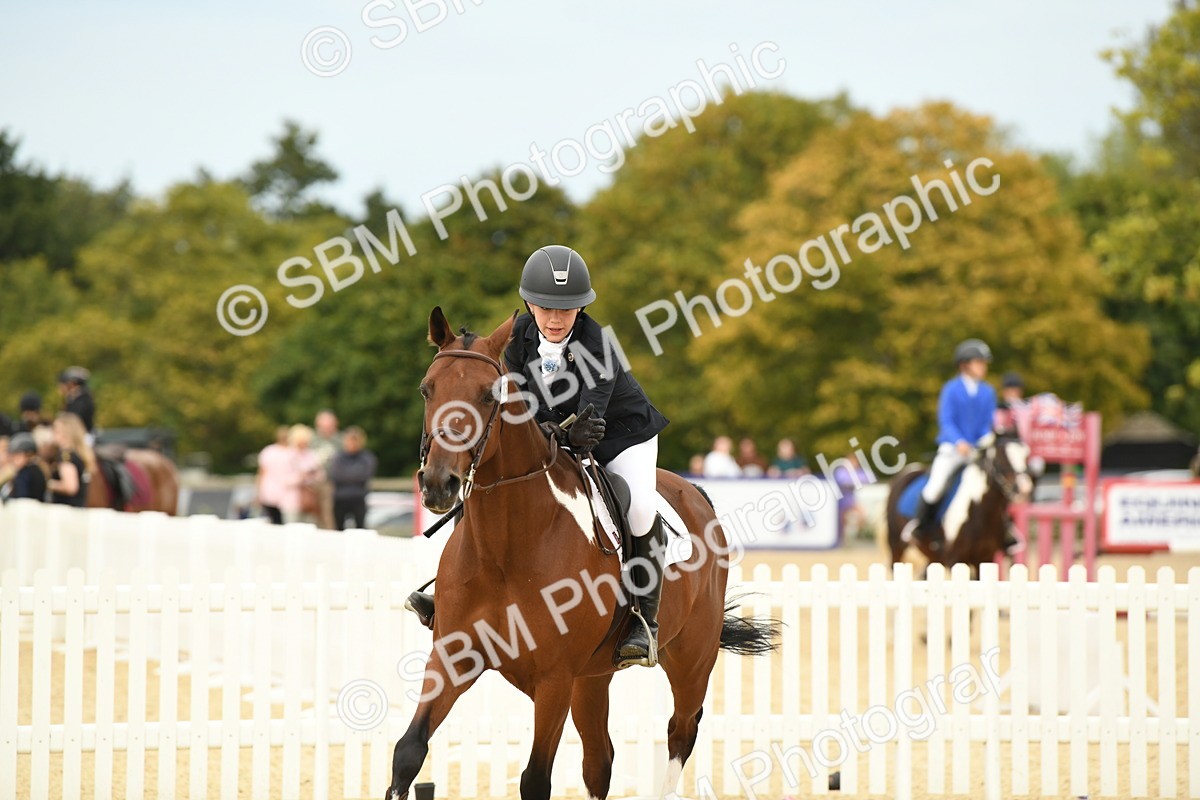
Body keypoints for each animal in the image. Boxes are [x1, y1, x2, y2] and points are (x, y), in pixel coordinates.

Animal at [386, 307, 778, 800]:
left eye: (489, 394)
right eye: (427, 388)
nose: (439, 484)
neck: (505, 549)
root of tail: (696, 493)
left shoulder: (554, 678)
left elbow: (536, 778)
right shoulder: (453, 658)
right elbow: (408, 751)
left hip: (691, 659)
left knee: (681, 730)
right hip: (593, 678)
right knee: (599, 760)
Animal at [885, 432, 1033, 574]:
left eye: (1025, 455)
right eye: (1002, 455)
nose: (1024, 488)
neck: (979, 509)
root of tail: (907, 471)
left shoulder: (985, 558)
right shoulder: (955, 558)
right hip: (896, 544)